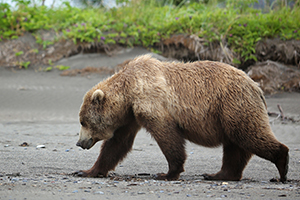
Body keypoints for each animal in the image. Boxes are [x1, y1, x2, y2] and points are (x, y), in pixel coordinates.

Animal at [74, 54, 290, 183]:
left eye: (83, 121)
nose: (79, 142)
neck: (129, 92)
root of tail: (257, 87)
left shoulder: (150, 102)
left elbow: (167, 136)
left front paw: (166, 173)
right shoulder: (131, 116)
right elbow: (117, 144)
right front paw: (87, 171)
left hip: (234, 104)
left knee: (249, 135)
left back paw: (282, 166)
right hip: (228, 113)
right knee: (235, 146)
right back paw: (218, 174)